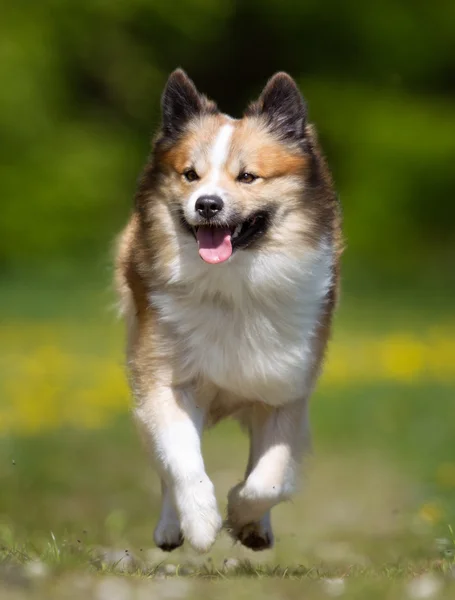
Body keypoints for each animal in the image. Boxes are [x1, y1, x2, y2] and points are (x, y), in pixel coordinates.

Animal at [116, 69, 344, 552]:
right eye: (190, 175)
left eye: (248, 177)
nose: (207, 204)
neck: (234, 285)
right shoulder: (165, 381)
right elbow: (182, 462)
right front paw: (201, 522)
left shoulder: (285, 390)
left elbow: (270, 478)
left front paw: (243, 515)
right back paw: (171, 527)